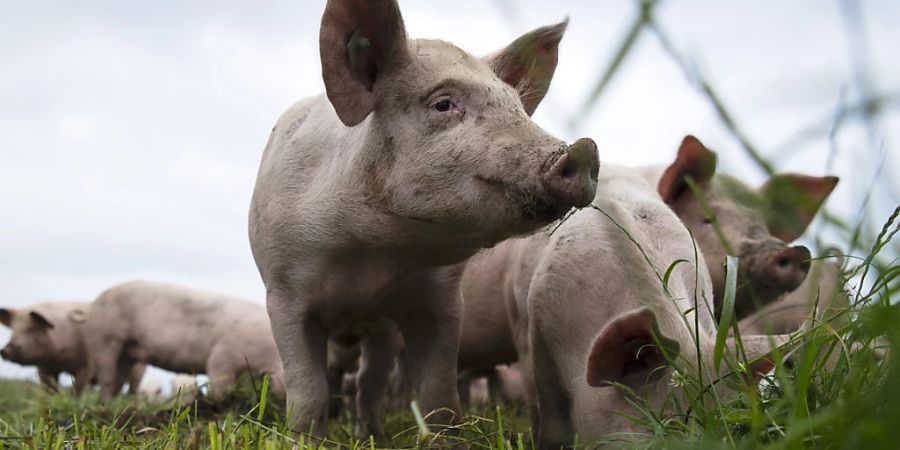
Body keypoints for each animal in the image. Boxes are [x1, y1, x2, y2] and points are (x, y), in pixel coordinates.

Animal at [0, 302, 144, 394]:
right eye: (13, 329)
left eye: (31, 329)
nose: (6, 350)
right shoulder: (44, 368)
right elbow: (49, 388)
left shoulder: (87, 364)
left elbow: (78, 387)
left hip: (138, 370)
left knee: (133, 389)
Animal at [84, 282, 284, 400]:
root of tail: (96, 302)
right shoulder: (222, 355)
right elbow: (219, 382)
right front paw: (220, 404)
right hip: (104, 339)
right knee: (107, 376)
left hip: (126, 353)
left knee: (117, 379)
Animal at [246, 0, 596, 440]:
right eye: (443, 104)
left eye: (517, 108)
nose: (585, 150)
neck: (371, 258)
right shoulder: (283, 292)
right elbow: (308, 389)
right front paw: (303, 441)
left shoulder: (439, 299)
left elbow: (439, 392)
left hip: (380, 334)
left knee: (370, 382)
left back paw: (373, 435)